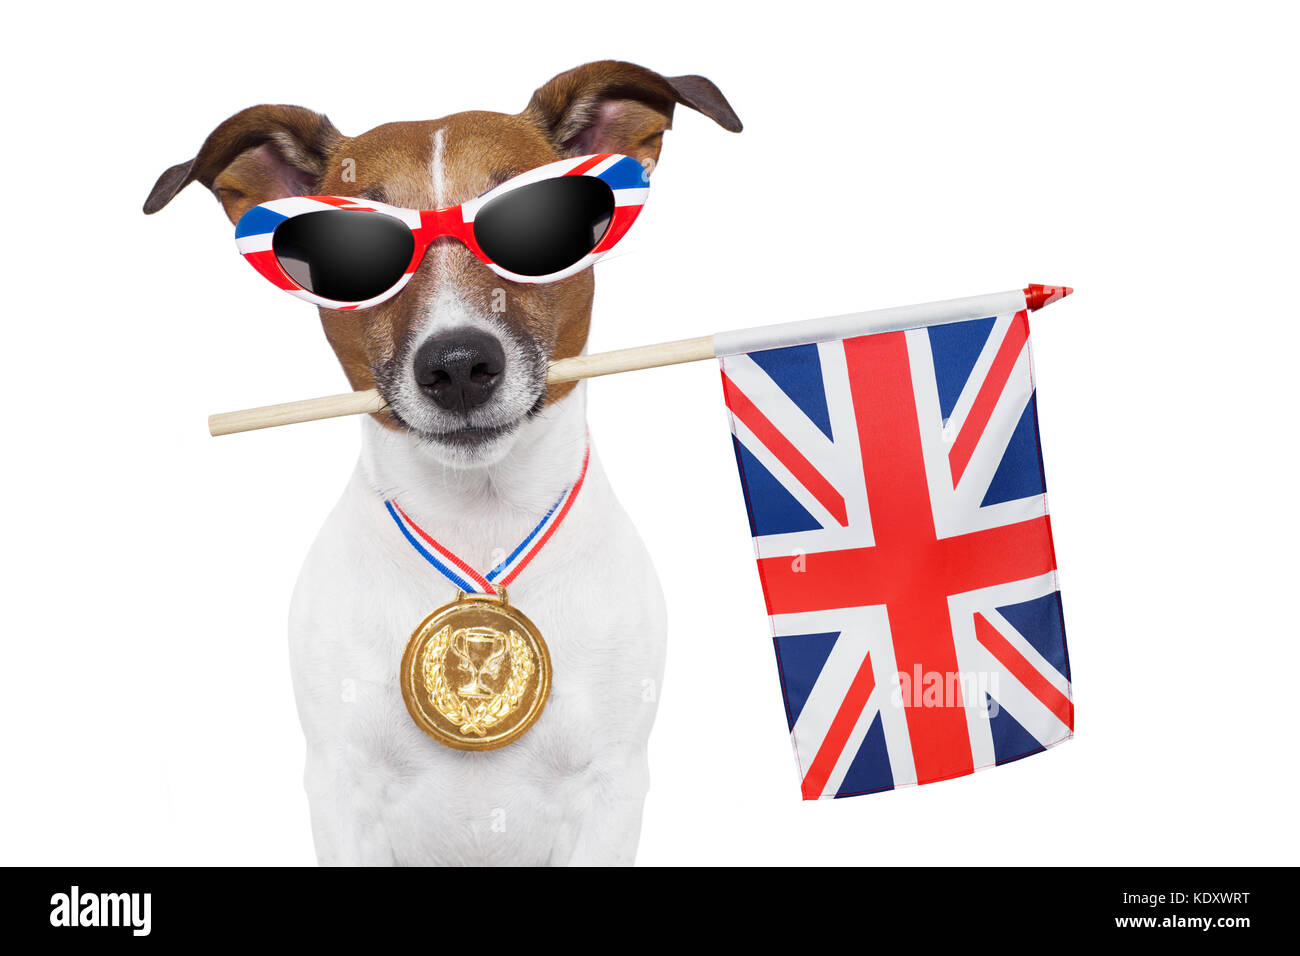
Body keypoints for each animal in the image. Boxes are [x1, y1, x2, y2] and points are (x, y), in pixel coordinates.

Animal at [144, 61, 743, 868]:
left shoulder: (611, 786)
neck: (478, 519)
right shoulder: (342, 786)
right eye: (351, 254)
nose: (458, 365)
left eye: (537, 227)